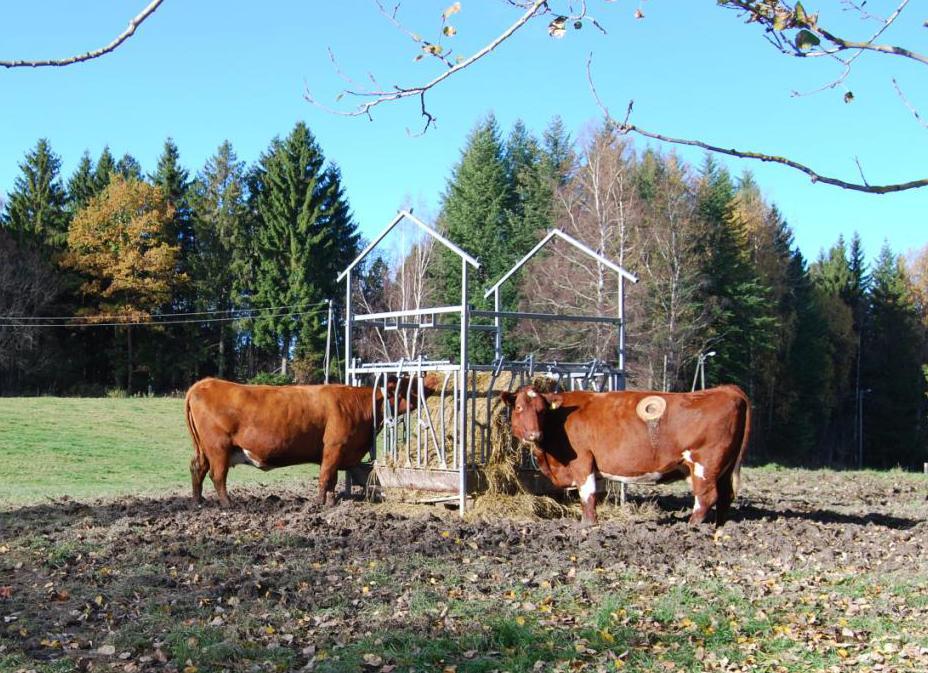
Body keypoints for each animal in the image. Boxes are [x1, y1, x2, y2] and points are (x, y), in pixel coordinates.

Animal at [188, 376, 438, 506]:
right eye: (408, 386)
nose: (429, 384)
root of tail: (205, 383)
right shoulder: (334, 446)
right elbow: (325, 476)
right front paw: (319, 503)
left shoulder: (338, 452)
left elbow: (333, 479)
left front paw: (331, 502)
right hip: (218, 448)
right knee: (217, 476)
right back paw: (227, 504)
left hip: (204, 450)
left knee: (197, 469)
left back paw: (198, 501)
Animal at [504, 384, 752, 524]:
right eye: (519, 408)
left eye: (541, 411)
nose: (534, 434)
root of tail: (726, 389)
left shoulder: (583, 462)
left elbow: (588, 495)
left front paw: (588, 525)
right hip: (723, 468)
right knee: (725, 496)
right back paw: (720, 526)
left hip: (704, 464)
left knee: (706, 497)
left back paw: (692, 525)